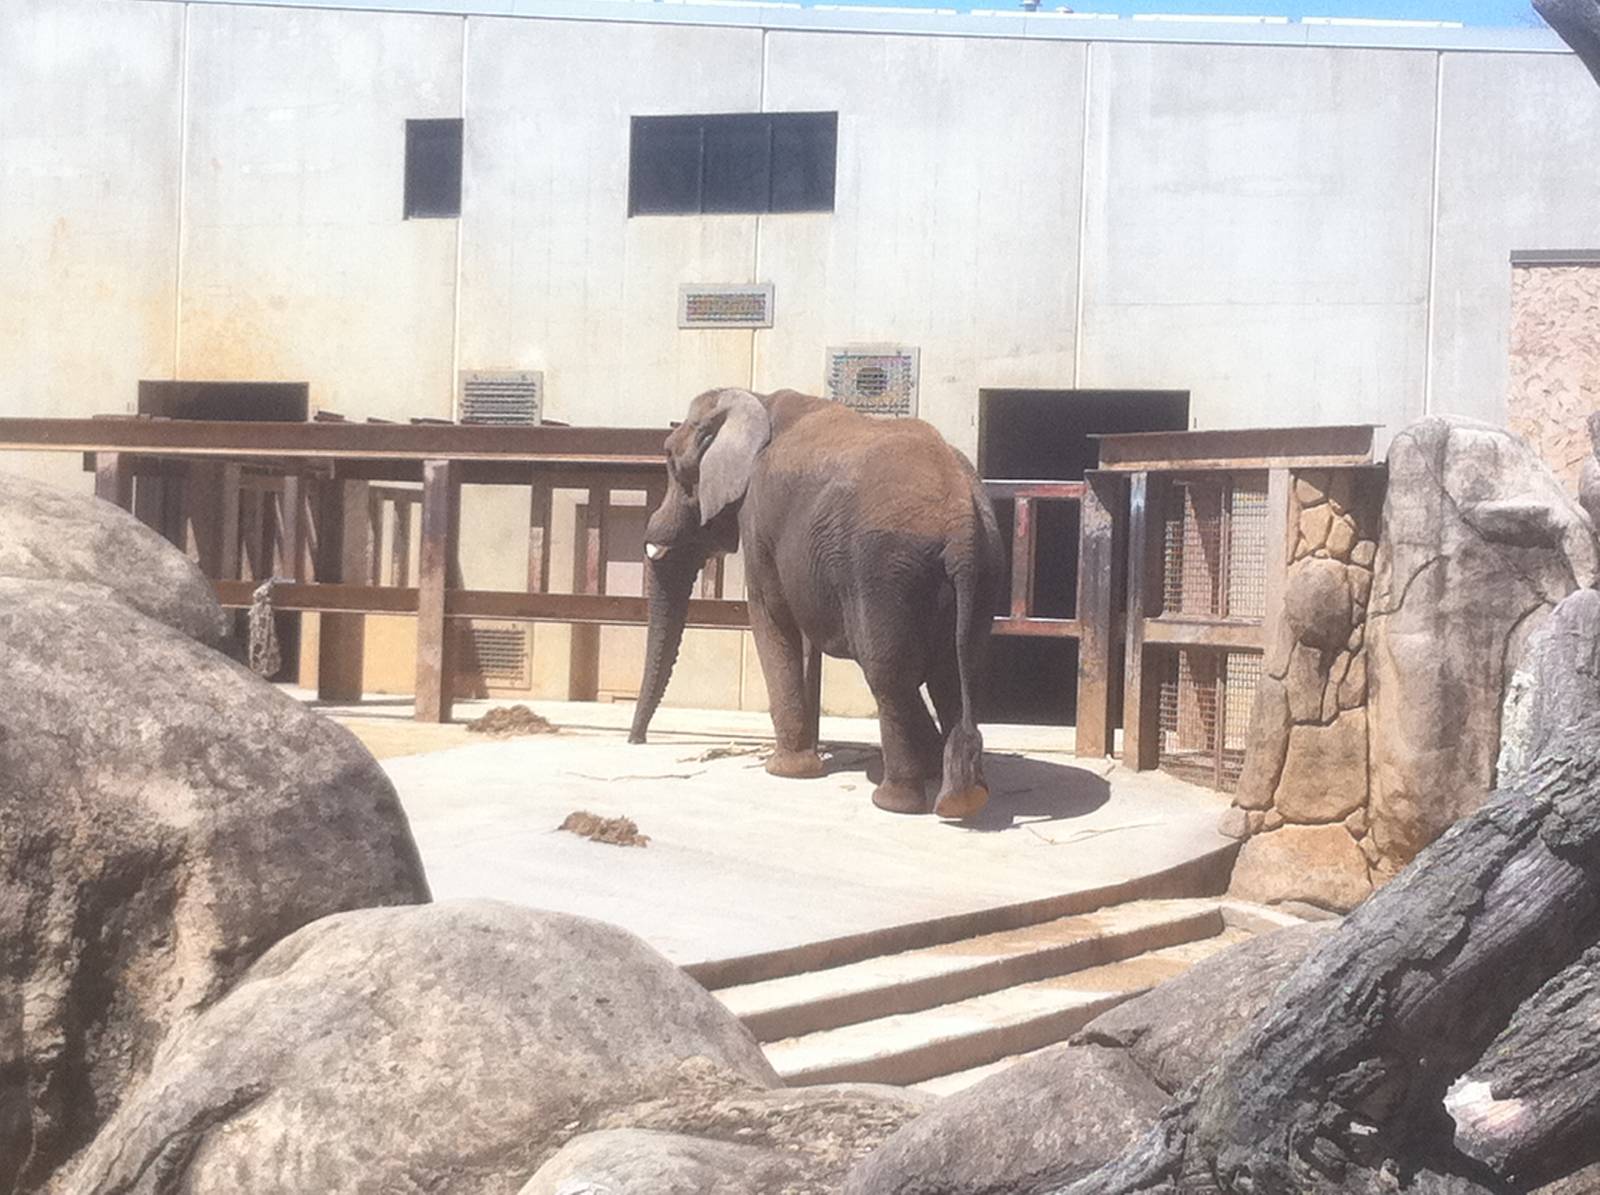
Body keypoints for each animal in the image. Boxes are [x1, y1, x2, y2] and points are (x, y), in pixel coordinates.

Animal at [628, 387, 1005, 818]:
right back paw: (961, 797)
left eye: (671, 460)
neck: (755, 399)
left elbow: (770, 617)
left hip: (883, 567)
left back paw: (894, 802)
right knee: (954, 672)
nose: (637, 741)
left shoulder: (758, 520)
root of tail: (962, 522)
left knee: (889, 674)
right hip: (981, 570)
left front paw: (785, 771)